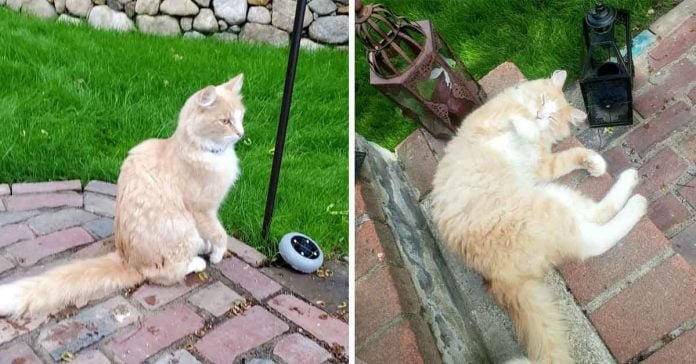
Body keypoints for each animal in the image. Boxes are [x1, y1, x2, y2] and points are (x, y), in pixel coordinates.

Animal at [0, 74, 247, 318]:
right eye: (225, 121)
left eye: (240, 117)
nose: (241, 133)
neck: (198, 150)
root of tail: (128, 261)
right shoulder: (203, 210)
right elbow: (220, 234)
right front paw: (217, 254)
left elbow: (214, 233)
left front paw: (211, 247)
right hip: (182, 231)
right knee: (168, 274)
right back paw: (197, 261)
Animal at [430, 70, 648, 364]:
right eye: (543, 100)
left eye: (554, 116)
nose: (541, 114)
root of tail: (498, 276)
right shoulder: (499, 125)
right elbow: (521, 123)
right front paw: (525, 122)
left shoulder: (544, 164)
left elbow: (570, 154)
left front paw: (594, 162)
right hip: (547, 201)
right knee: (595, 232)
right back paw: (635, 194)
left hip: (547, 199)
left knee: (595, 229)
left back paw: (633, 188)